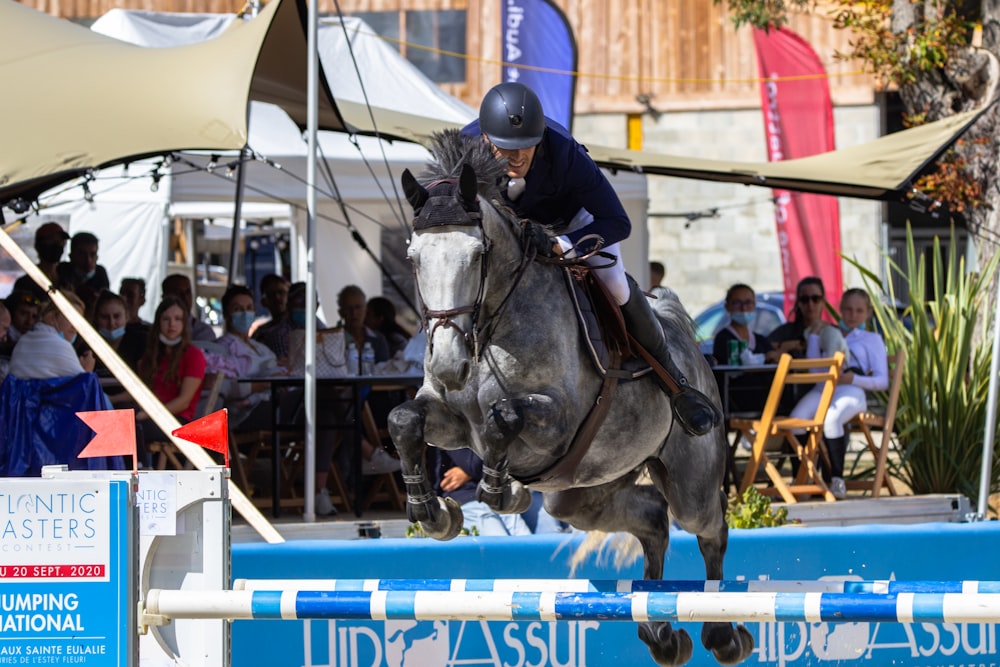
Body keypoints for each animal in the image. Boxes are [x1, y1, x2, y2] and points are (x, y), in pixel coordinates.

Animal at [386, 130, 752, 667]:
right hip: (577, 494)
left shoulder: (556, 423)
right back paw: (661, 634)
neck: (490, 328)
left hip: (688, 478)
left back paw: (723, 635)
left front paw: (503, 490)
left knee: (709, 529)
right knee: (651, 518)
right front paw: (433, 512)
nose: (449, 365)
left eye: (477, 254)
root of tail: (685, 339)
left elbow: (503, 417)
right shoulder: (452, 418)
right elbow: (403, 419)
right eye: (413, 258)